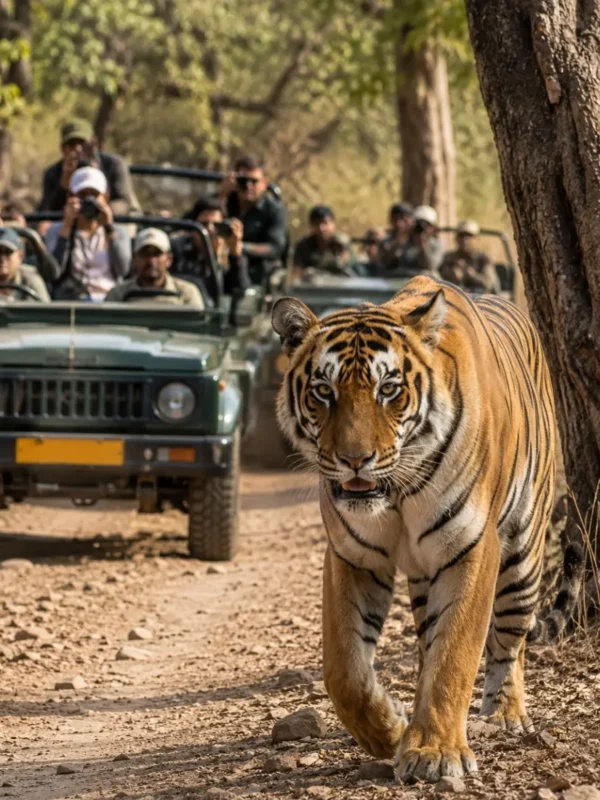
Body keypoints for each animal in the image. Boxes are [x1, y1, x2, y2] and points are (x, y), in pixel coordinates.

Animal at [271, 275, 583, 783]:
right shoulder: (352, 554)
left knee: (510, 642)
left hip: (523, 553)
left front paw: (434, 751)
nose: (355, 460)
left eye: (388, 389)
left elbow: (455, 654)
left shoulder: (471, 548)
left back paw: (505, 715)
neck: (395, 493)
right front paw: (390, 732)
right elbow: (344, 670)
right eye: (323, 390)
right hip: (423, 575)